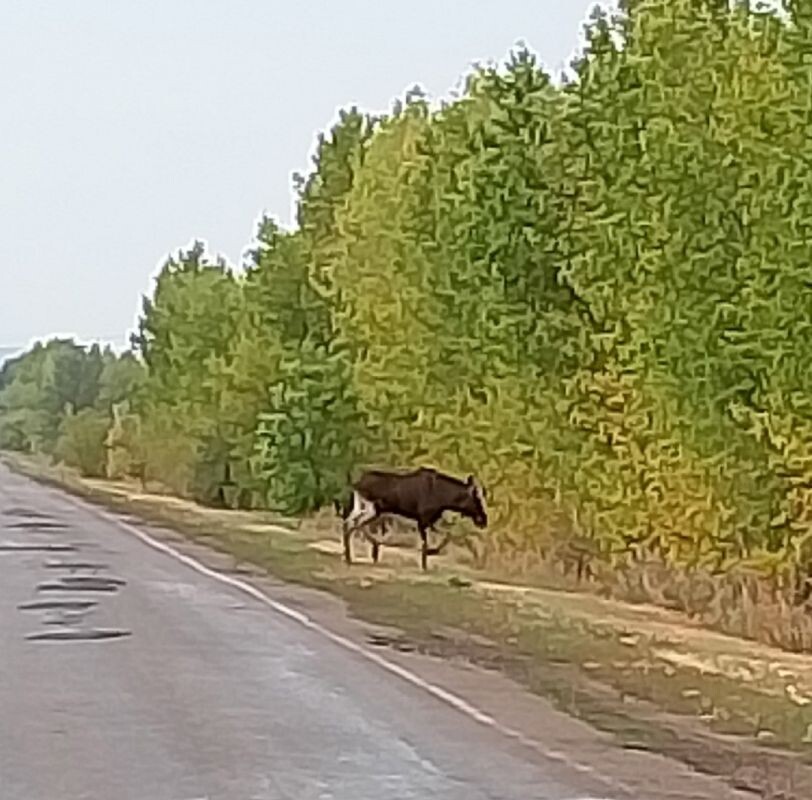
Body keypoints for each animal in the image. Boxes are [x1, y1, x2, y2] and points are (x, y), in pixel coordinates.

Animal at [336, 466, 488, 572]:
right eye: (477, 499)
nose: (483, 519)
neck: (445, 498)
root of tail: (356, 484)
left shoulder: (429, 521)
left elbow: (448, 536)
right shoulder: (423, 520)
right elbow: (427, 542)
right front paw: (424, 563)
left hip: (364, 508)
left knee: (348, 523)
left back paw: (351, 555)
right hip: (372, 509)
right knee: (354, 524)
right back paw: (367, 552)